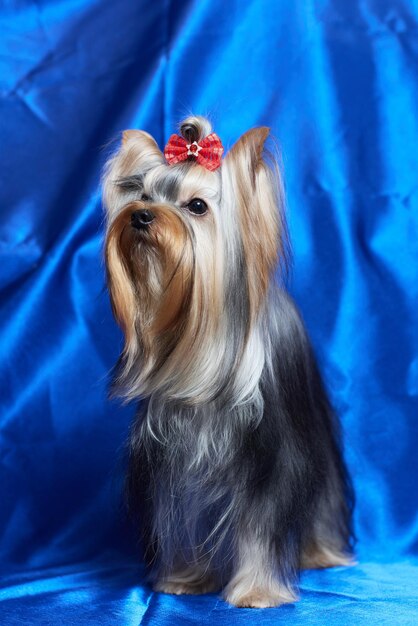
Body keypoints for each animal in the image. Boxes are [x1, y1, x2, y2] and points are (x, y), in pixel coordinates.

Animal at [101, 114, 352, 608]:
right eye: (143, 196)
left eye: (197, 206)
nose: (140, 216)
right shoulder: (175, 459)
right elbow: (182, 516)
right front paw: (184, 577)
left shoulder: (271, 461)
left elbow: (260, 525)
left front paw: (256, 591)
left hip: (311, 429)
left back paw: (322, 552)